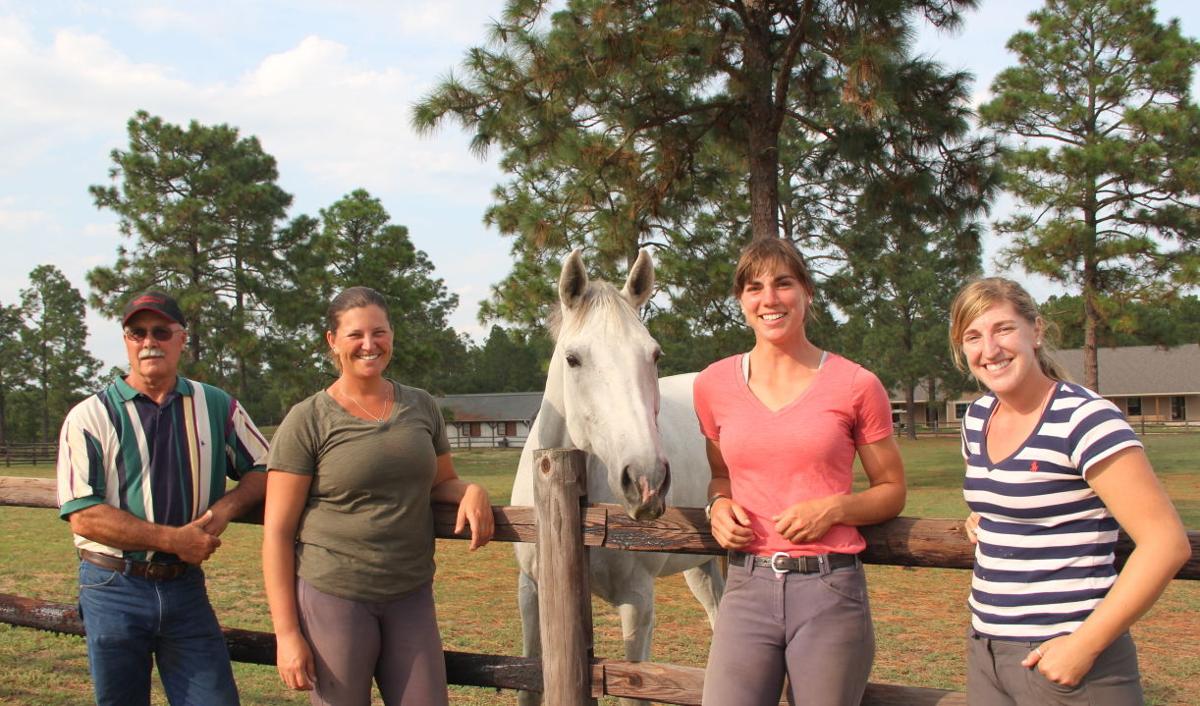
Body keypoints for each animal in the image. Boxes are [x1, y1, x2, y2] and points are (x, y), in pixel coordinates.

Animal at [511, 249, 724, 706]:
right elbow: (528, 683)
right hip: (701, 567)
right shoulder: (532, 592)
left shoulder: (637, 602)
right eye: (573, 358)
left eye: (654, 355)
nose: (646, 480)